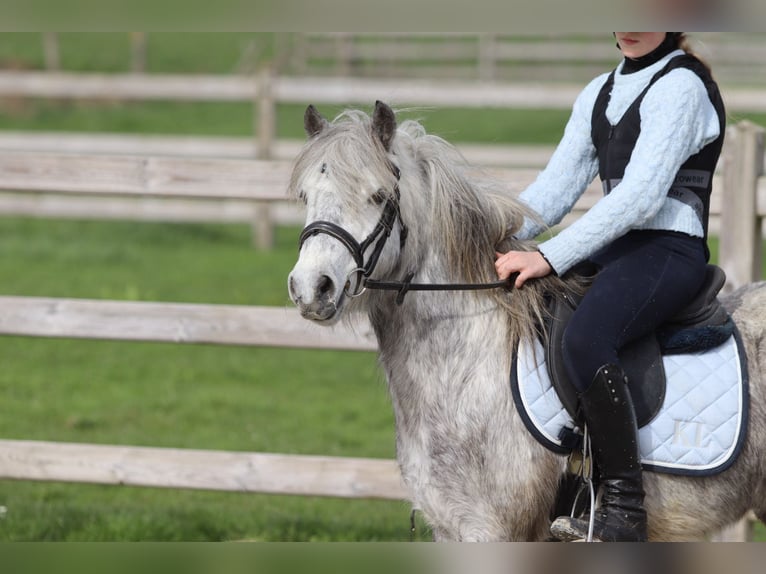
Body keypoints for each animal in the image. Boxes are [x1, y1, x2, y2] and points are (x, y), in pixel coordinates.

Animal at [287, 101, 766, 541]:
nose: (312, 288)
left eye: (378, 196)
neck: (467, 363)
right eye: (305, 196)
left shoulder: (492, 530)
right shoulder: (452, 527)